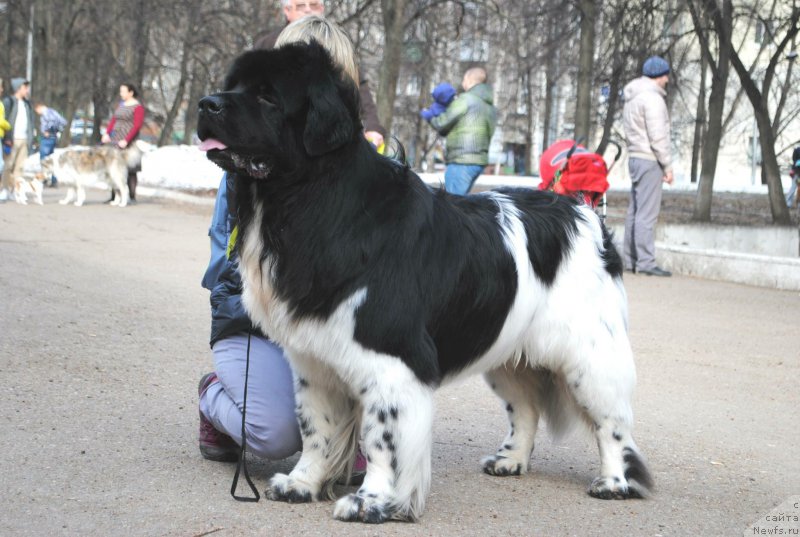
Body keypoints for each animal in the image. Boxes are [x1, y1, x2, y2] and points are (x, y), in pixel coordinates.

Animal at [197, 43, 652, 524]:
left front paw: (373, 501)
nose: (206, 104)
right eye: (233, 85)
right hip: (505, 348)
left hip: (589, 355)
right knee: (526, 408)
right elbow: (316, 427)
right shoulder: (313, 361)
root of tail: (585, 213)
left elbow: (383, 438)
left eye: (267, 96)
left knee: (612, 422)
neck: (312, 201)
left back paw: (614, 482)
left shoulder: (392, 361)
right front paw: (301, 484)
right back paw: (510, 459)